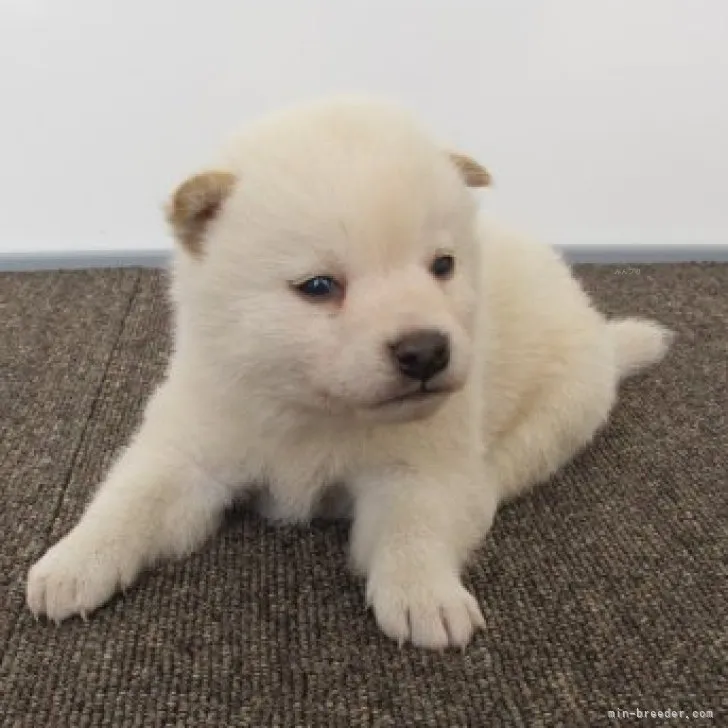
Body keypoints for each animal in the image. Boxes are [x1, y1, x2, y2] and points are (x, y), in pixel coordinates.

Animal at [25, 98, 672, 648]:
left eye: (443, 265)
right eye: (318, 286)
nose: (425, 351)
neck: (312, 413)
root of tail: (601, 334)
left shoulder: (421, 461)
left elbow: (416, 525)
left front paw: (426, 595)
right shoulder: (192, 445)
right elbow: (130, 498)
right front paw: (73, 561)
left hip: (566, 405)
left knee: (505, 468)